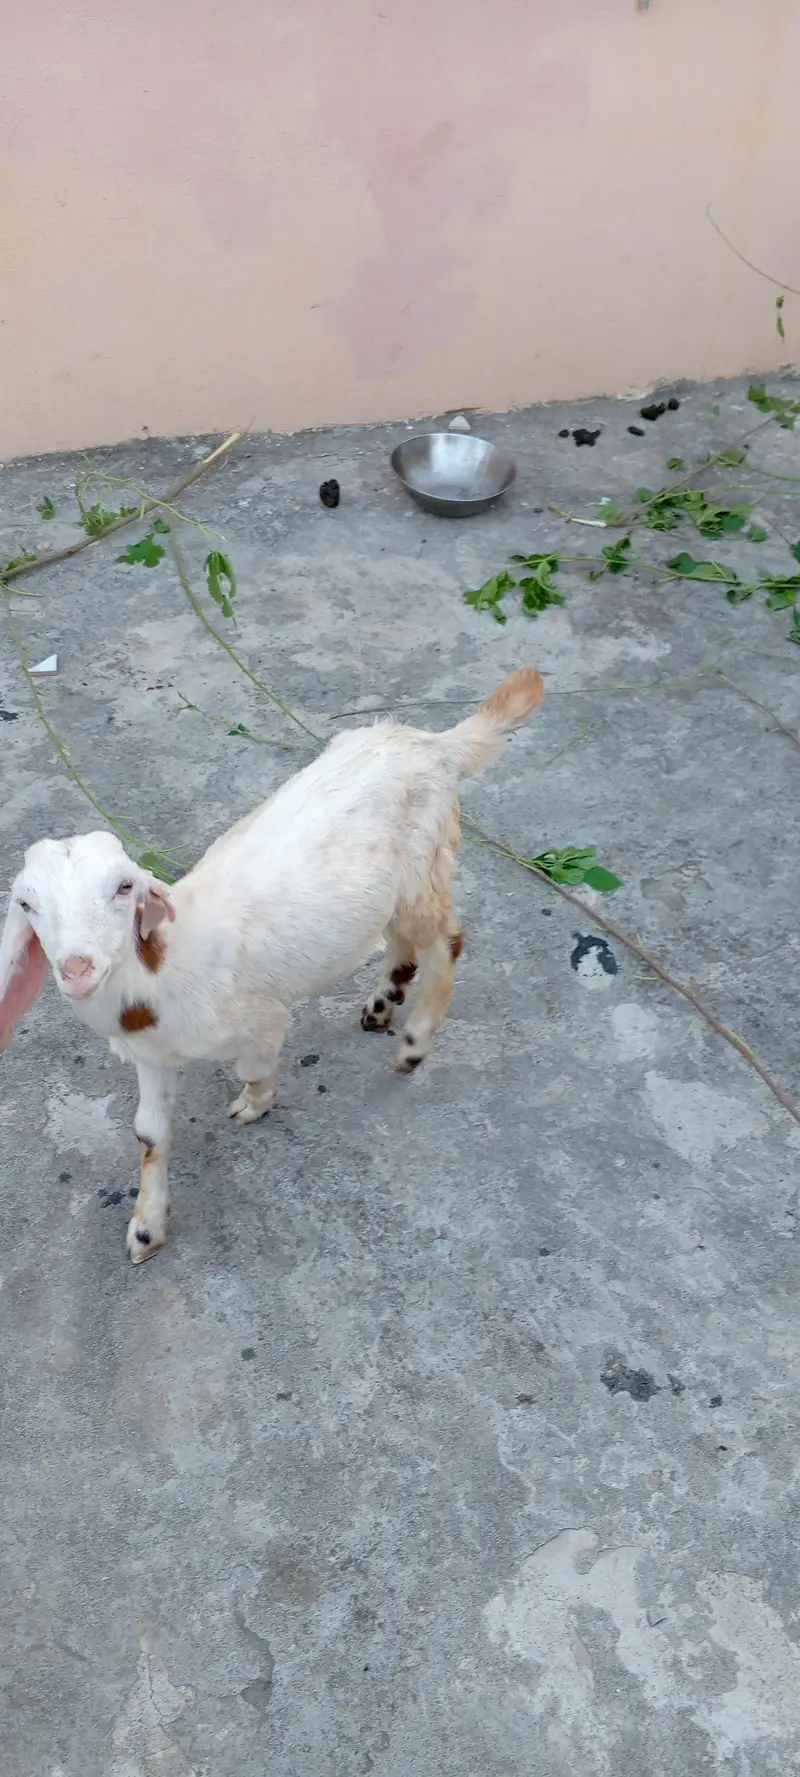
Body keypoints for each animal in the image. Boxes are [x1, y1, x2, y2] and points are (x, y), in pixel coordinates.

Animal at [0, 666, 544, 1263]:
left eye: (125, 888)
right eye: (26, 904)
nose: (76, 967)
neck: (162, 972)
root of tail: (431, 744)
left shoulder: (261, 1020)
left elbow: (254, 1069)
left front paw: (254, 1106)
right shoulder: (150, 1056)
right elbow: (149, 1134)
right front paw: (146, 1228)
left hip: (427, 863)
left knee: (446, 939)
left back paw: (414, 1042)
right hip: (394, 887)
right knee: (400, 937)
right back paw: (383, 1003)